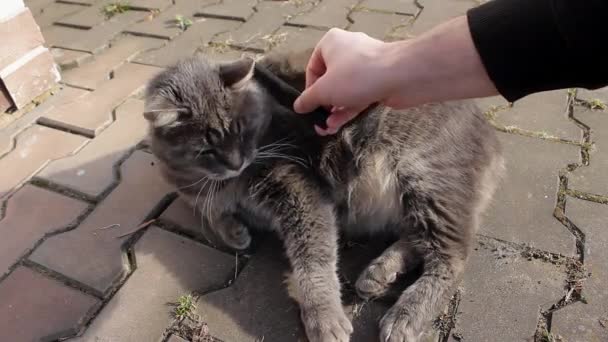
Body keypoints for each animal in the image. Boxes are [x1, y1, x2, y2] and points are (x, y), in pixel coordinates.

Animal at [142, 48, 504, 342]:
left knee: (452, 257)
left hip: (425, 181)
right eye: (206, 149)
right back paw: (380, 272)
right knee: (417, 240)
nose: (236, 162)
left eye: (241, 129)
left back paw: (406, 315)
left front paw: (324, 315)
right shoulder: (195, 191)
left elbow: (313, 261)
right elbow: (208, 210)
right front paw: (233, 230)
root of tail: (492, 137)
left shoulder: (300, 191)